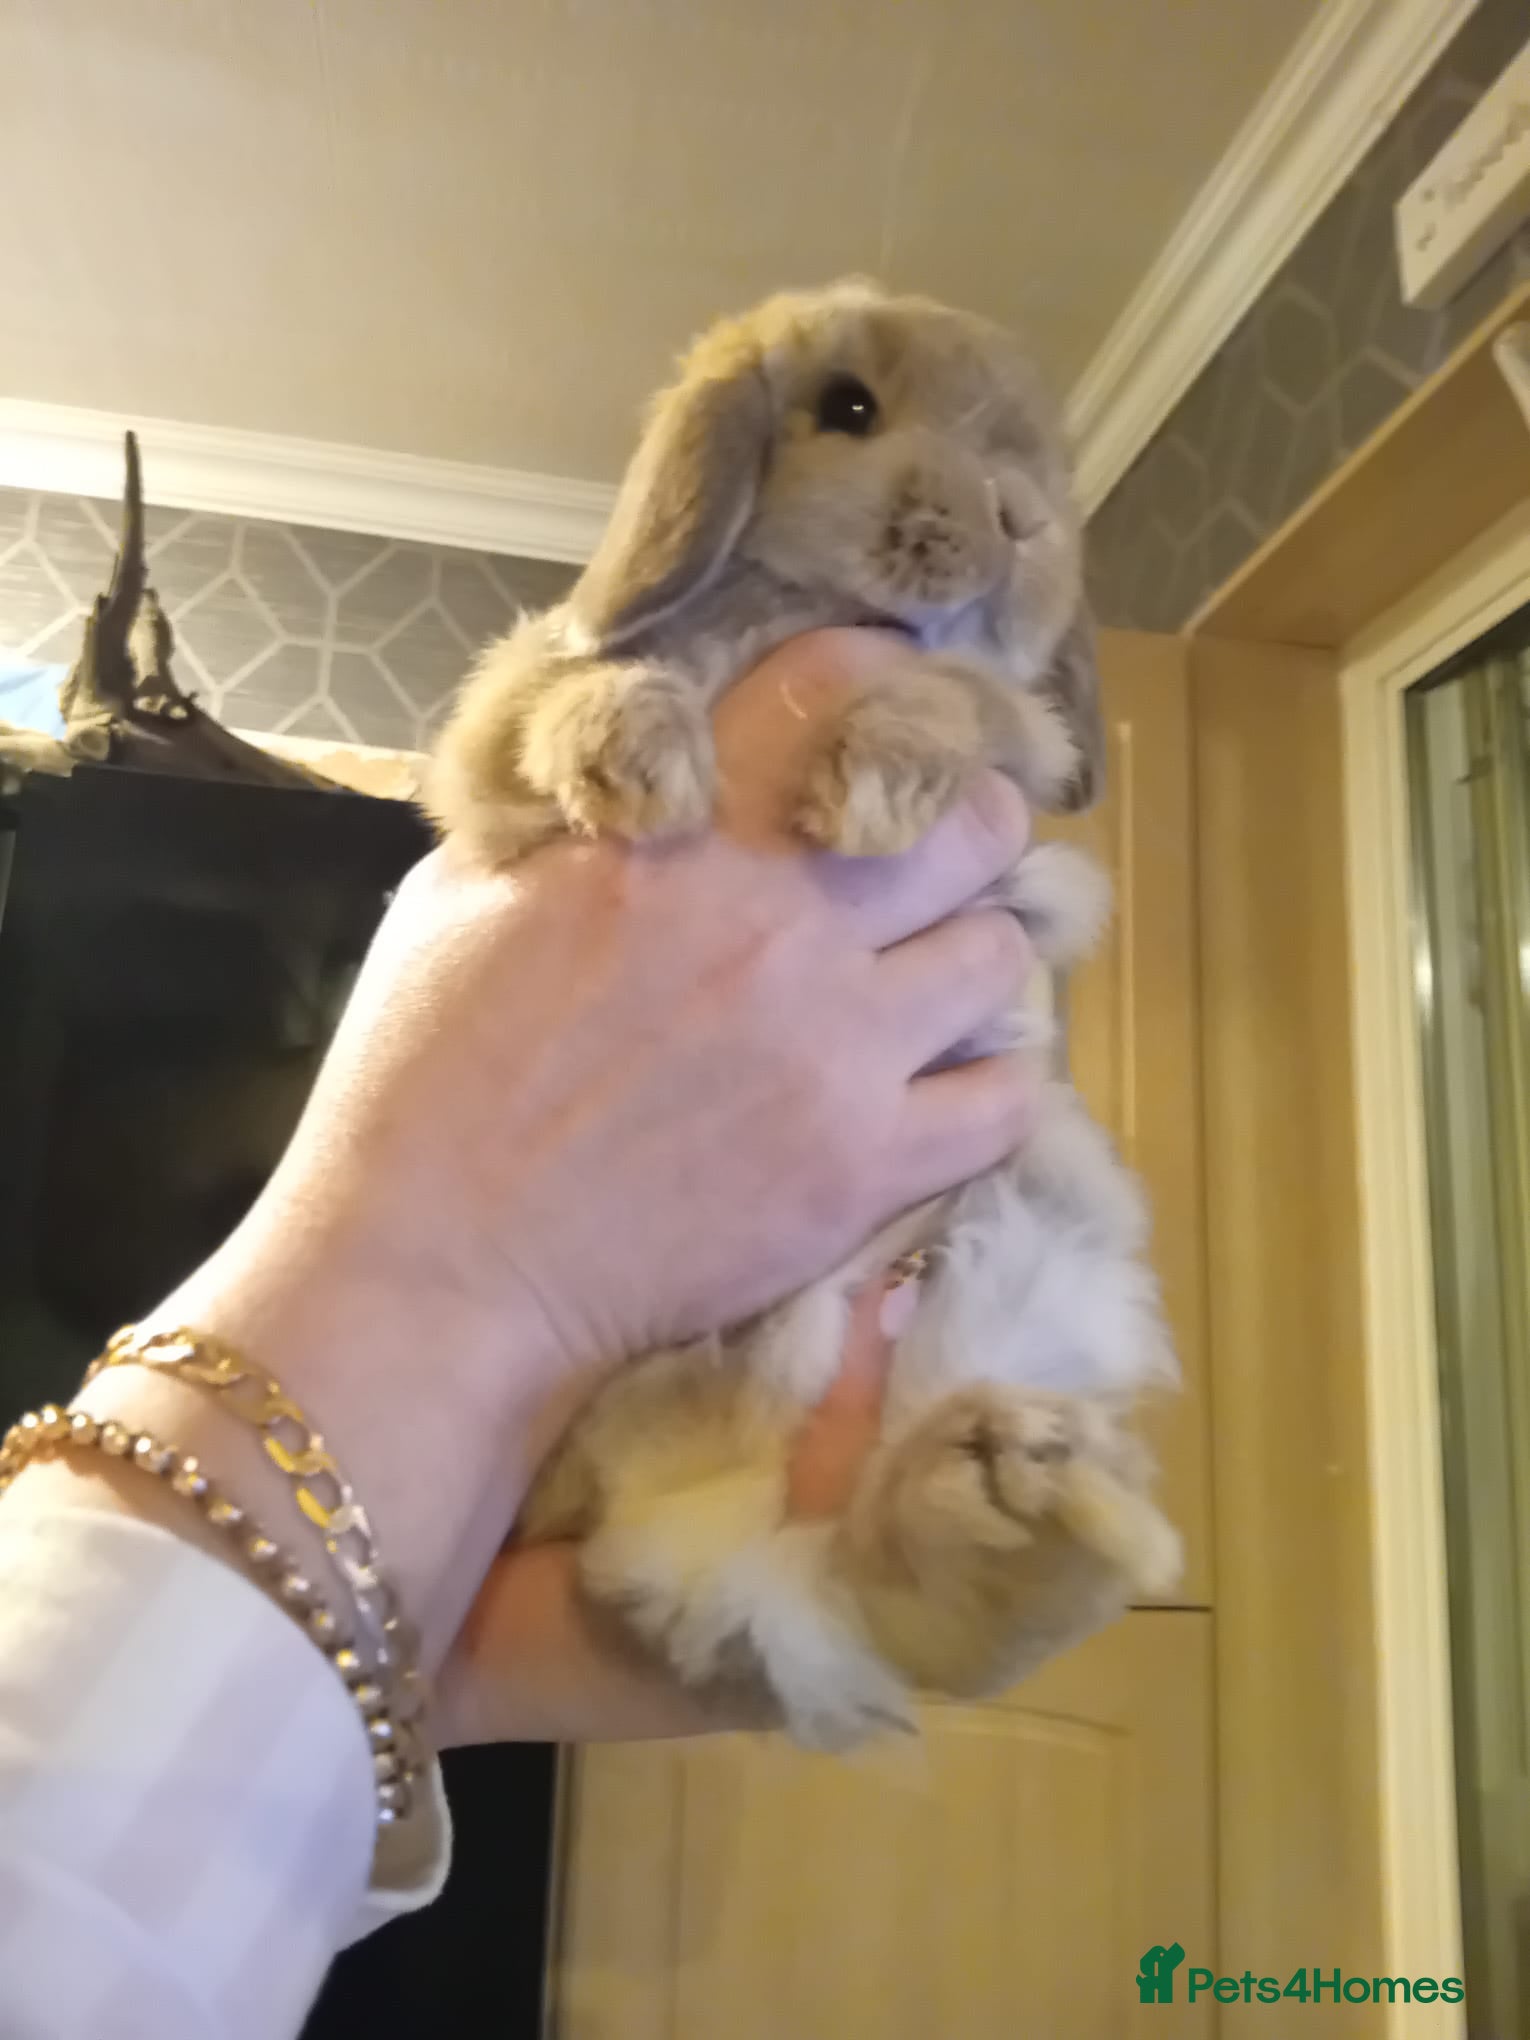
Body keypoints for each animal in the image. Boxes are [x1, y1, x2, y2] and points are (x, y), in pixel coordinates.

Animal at [427, 280, 1181, 1749]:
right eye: (849, 407)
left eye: (1042, 461)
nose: (1021, 517)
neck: (802, 607)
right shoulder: (490, 749)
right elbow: (560, 695)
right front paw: (638, 760)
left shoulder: (1014, 766)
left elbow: (962, 700)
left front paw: (871, 784)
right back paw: (996, 1490)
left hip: (1033, 1246)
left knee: (900, 1597)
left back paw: (1015, 1490)